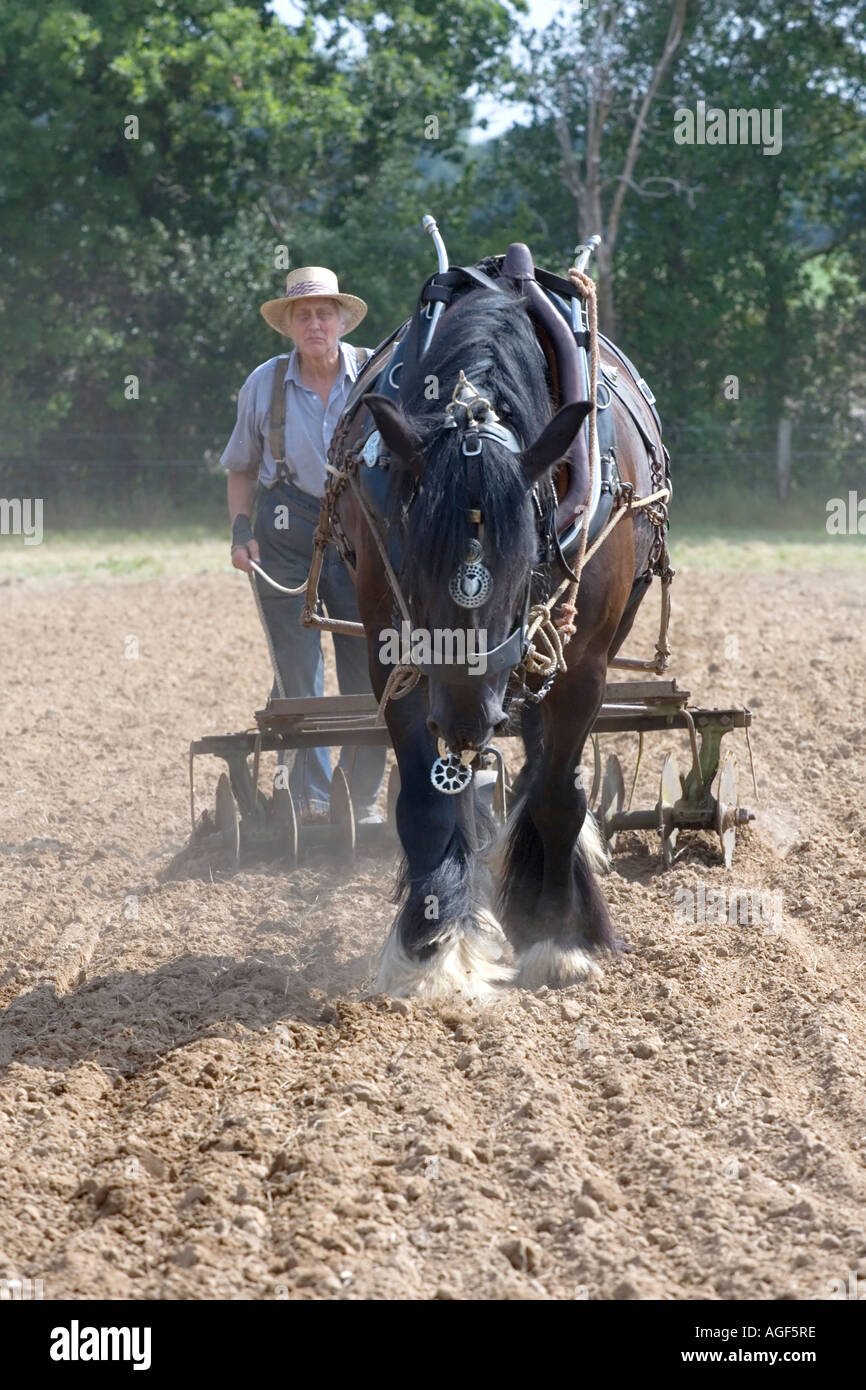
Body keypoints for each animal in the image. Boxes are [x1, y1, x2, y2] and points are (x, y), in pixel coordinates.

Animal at [335, 250, 667, 1000]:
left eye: (526, 565)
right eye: (412, 558)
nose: (465, 720)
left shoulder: (582, 662)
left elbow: (555, 793)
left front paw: (557, 937)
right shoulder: (393, 656)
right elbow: (426, 800)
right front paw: (432, 946)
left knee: (550, 772)